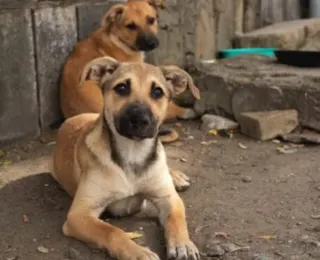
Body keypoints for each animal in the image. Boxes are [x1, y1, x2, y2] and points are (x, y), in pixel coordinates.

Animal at [52, 57, 200, 260]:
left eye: (157, 91)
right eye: (122, 88)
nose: (140, 120)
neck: (133, 154)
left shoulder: (169, 198)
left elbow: (176, 219)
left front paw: (182, 244)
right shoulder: (79, 214)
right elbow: (112, 231)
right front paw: (138, 252)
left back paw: (176, 176)